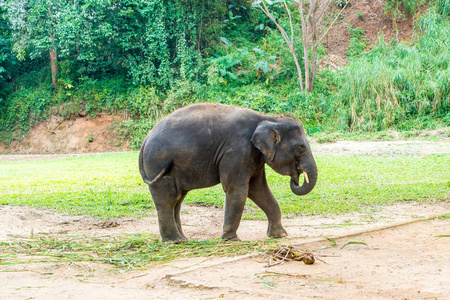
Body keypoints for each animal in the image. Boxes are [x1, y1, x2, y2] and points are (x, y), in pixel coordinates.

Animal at [137, 103, 316, 241]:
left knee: (177, 200)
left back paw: (183, 239)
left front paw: (280, 235)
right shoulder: (237, 151)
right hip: (157, 163)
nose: (296, 177)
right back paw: (175, 241)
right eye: (300, 148)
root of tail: (144, 140)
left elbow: (258, 189)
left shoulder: (253, 156)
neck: (267, 118)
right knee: (168, 199)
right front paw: (231, 239)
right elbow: (237, 189)